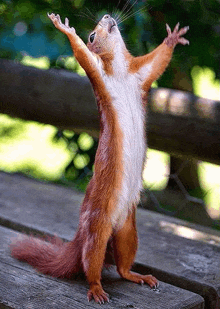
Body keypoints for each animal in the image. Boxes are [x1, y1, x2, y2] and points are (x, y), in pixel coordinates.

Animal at [10, 12, 189, 304]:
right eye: (92, 35)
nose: (107, 16)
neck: (120, 69)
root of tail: (81, 236)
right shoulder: (99, 74)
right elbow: (83, 55)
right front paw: (66, 29)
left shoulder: (141, 74)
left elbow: (158, 61)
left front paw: (172, 38)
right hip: (97, 229)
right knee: (90, 264)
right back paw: (96, 289)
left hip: (128, 229)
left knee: (122, 266)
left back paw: (138, 276)